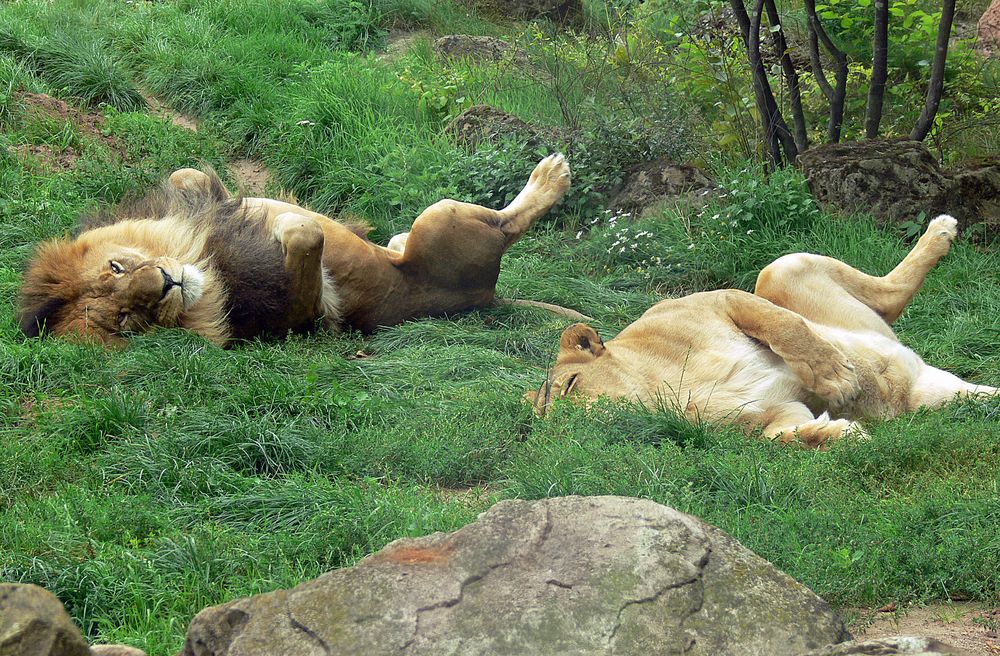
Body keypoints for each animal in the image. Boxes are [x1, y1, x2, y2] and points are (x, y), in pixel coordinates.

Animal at [17, 156, 572, 346]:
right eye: (130, 321)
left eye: (117, 267)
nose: (165, 283)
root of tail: (486, 297)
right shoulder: (308, 317)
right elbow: (306, 237)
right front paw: (285, 223)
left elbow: (188, 177)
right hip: (438, 221)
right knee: (507, 225)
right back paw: (552, 174)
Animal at [528, 217, 996, 446]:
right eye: (549, 421)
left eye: (570, 385)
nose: (574, 427)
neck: (669, 391)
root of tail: (910, 367)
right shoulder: (772, 412)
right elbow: (784, 436)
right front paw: (836, 432)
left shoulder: (714, 300)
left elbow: (781, 325)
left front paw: (835, 378)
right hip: (936, 397)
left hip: (779, 269)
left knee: (891, 293)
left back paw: (941, 229)